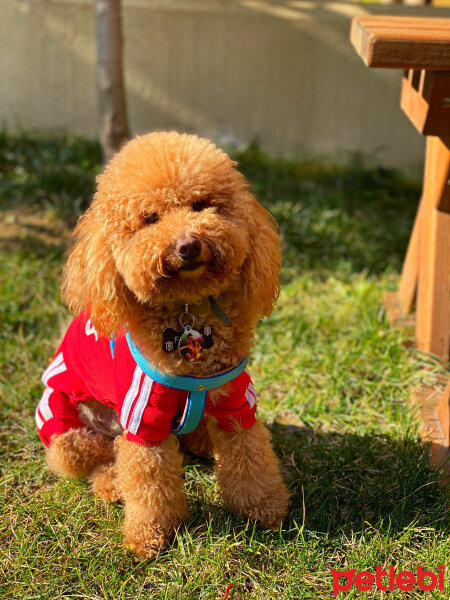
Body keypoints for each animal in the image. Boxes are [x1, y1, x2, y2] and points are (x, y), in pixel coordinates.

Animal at [35, 131, 288, 556]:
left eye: (201, 204)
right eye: (150, 218)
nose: (188, 245)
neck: (189, 312)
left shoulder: (235, 399)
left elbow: (250, 457)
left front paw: (265, 508)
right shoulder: (144, 417)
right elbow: (149, 481)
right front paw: (148, 536)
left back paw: (200, 439)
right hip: (67, 431)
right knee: (99, 458)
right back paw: (112, 483)